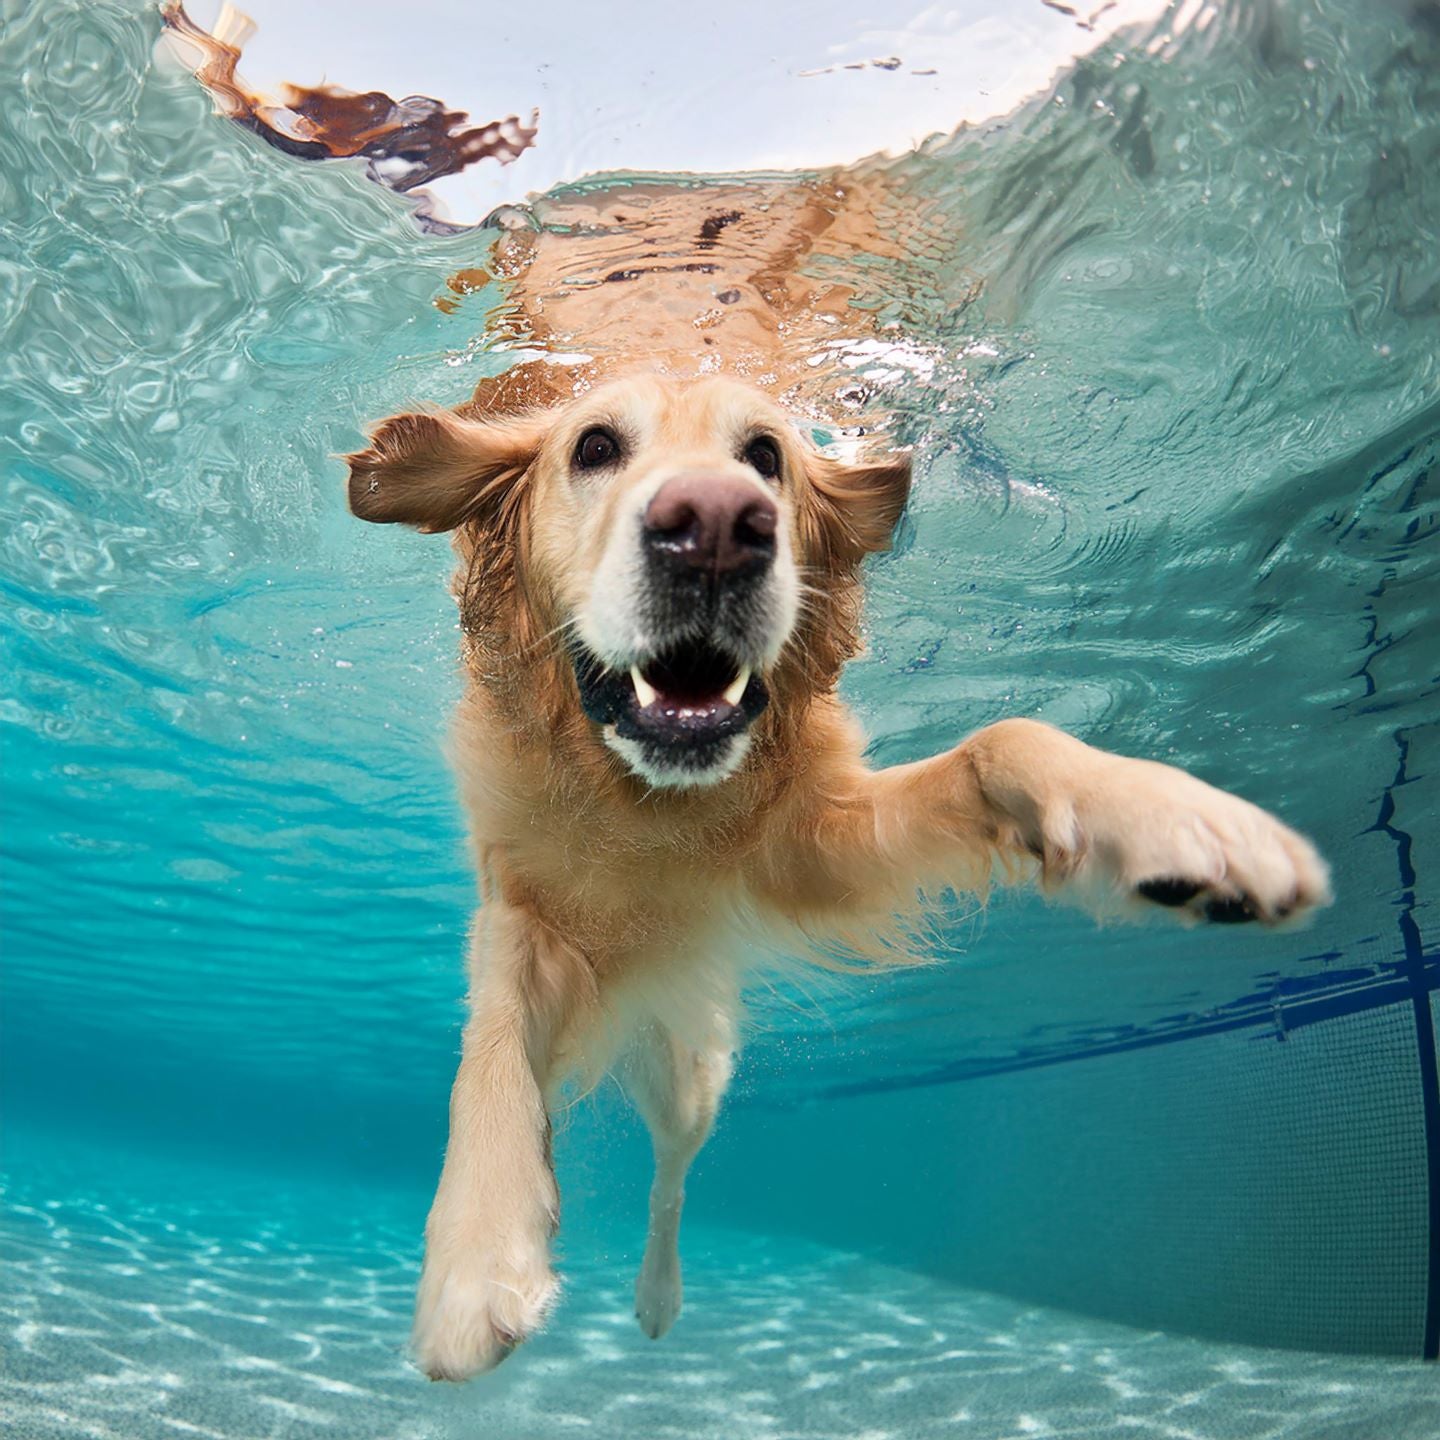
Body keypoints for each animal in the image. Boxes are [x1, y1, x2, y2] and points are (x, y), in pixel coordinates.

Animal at [342, 354, 1330, 1376]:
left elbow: (1002, 739)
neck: (648, 801)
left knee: (673, 1173)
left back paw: (658, 1297)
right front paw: (476, 1257)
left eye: (766, 456)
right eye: (596, 446)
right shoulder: (518, 910)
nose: (716, 528)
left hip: (693, 1068)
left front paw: (1171, 816)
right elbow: (490, 1047)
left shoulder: (817, 849)